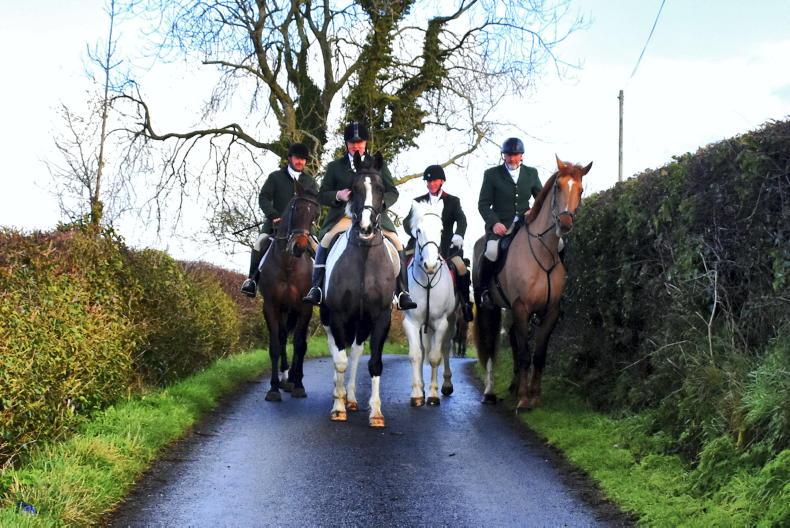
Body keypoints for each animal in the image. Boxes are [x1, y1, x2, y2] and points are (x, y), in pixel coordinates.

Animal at [258, 183, 320, 402]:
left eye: (315, 215)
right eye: (296, 208)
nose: (299, 246)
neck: (289, 263)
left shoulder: (304, 307)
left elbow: (300, 345)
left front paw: (299, 385)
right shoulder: (271, 306)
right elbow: (276, 344)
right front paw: (273, 388)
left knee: (297, 342)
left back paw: (293, 379)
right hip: (284, 310)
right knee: (284, 337)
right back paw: (285, 378)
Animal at [321, 152, 396, 427]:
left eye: (381, 188)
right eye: (353, 188)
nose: (365, 228)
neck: (364, 256)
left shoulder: (381, 317)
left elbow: (373, 363)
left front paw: (376, 413)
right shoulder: (338, 315)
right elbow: (340, 361)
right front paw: (337, 407)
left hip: (362, 323)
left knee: (355, 353)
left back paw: (352, 398)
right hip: (330, 319)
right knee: (338, 354)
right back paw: (341, 395)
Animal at [402, 200, 457, 407]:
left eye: (441, 230)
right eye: (418, 230)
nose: (431, 265)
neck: (427, 280)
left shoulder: (440, 323)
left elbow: (435, 357)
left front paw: (433, 395)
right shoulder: (411, 322)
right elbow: (416, 355)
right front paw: (417, 393)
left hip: (451, 321)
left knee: (445, 348)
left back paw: (446, 385)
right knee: (424, 349)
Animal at [473, 156, 592, 411]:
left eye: (580, 189)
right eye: (558, 187)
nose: (565, 223)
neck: (543, 252)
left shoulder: (550, 311)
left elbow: (538, 354)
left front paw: (534, 395)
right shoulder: (521, 307)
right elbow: (525, 354)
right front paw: (525, 399)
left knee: (514, 343)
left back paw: (515, 385)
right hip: (490, 306)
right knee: (491, 345)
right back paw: (492, 391)